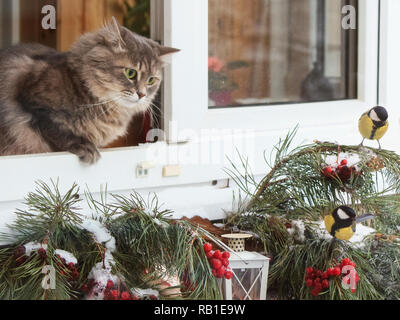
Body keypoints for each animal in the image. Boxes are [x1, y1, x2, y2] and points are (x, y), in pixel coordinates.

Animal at [0, 16, 178, 164]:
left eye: (151, 80)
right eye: (130, 73)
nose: (141, 94)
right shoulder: (33, 103)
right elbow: (57, 130)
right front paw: (86, 148)